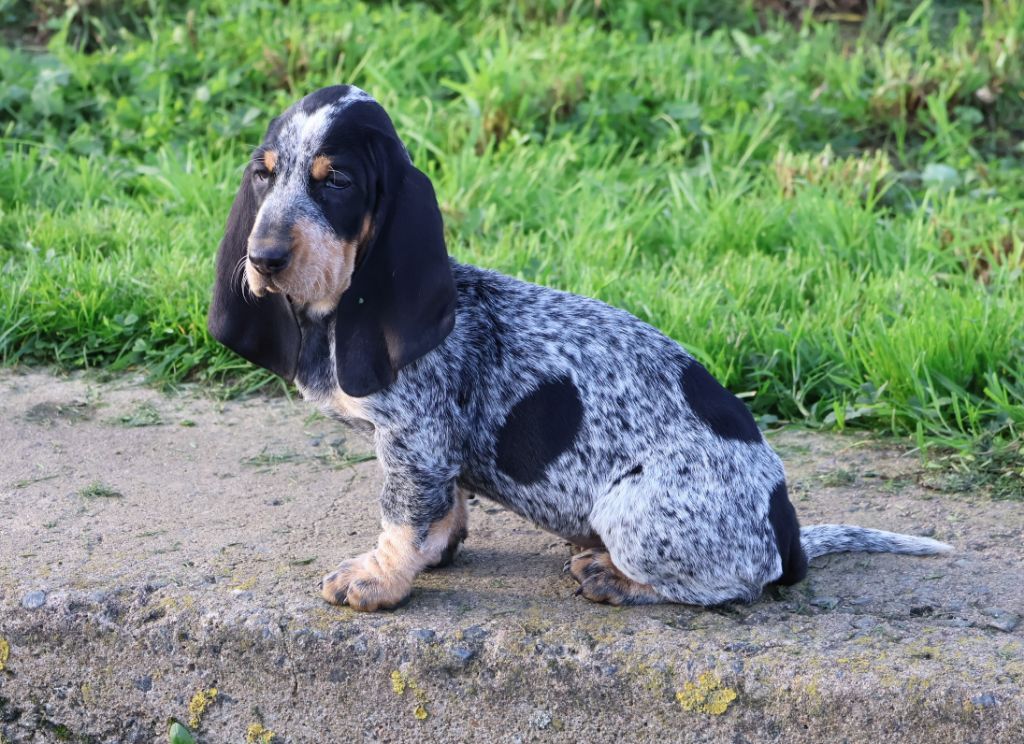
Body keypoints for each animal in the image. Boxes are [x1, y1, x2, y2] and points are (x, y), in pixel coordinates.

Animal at [205, 85, 950, 609]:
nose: (263, 258)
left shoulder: (415, 439)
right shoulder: (434, 451)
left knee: (732, 586)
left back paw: (613, 576)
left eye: (337, 180)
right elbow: (442, 507)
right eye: (264, 175)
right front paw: (435, 551)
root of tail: (788, 532)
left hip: (630, 509)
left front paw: (380, 579)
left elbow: (401, 516)